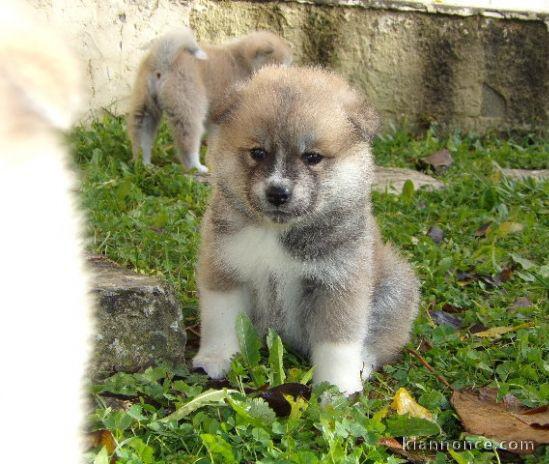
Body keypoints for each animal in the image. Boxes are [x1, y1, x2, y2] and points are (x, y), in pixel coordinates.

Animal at [127, 29, 292, 173]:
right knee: (188, 143)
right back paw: (197, 167)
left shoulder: (215, 120)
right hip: (189, 109)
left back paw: (144, 164)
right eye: (280, 64)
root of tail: (163, 60)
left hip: (145, 108)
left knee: (141, 138)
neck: (243, 62)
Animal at [194, 66, 420, 396]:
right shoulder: (226, 268)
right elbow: (221, 321)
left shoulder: (338, 285)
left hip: (396, 288)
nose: (277, 192)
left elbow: (338, 344)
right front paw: (217, 358)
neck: (277, 233)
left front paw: (338, 389)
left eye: (312, 157)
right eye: (257, 152)